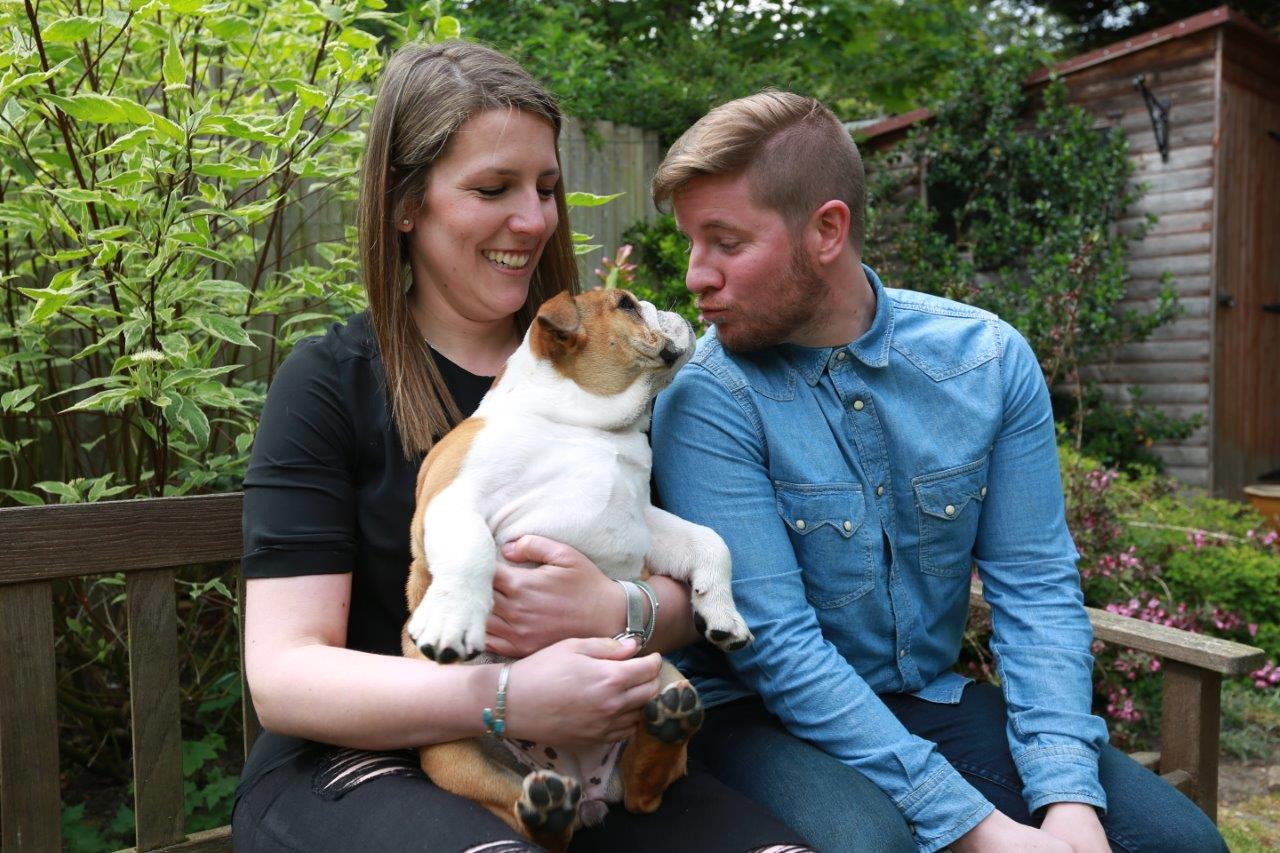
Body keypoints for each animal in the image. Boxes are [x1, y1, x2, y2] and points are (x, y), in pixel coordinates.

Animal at [401, 286, 747, 850]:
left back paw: (669, 723)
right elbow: (473, 546)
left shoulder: (646, 519)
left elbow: (709, 541)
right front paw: (452, 621)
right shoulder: (452, 499)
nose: (666, 307)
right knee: (535, 825)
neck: (588, 426)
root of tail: (586, 788)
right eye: (626, 304)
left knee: (643, 793)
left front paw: (723, 615)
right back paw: (547, 810)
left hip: (662, 674)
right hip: (451, 753)